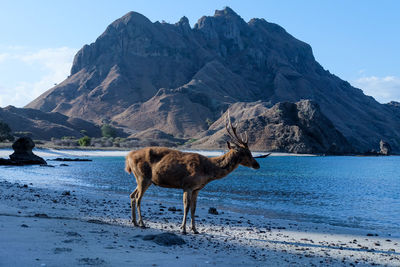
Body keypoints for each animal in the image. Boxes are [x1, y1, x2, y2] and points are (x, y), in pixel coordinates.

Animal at [123, 113, 264, 234]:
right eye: (245, 153)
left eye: (250, 151)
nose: (257, 165)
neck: (208, 171)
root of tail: (128, 156)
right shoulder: (188, 185)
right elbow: (186, 206)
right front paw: (183, 229)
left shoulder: (197, 189)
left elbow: (194, 208)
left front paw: (195, 229)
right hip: (142, 177)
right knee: (138, 198)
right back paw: (142, 223)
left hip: (144, 179)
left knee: (132, 195)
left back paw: (134, 222)